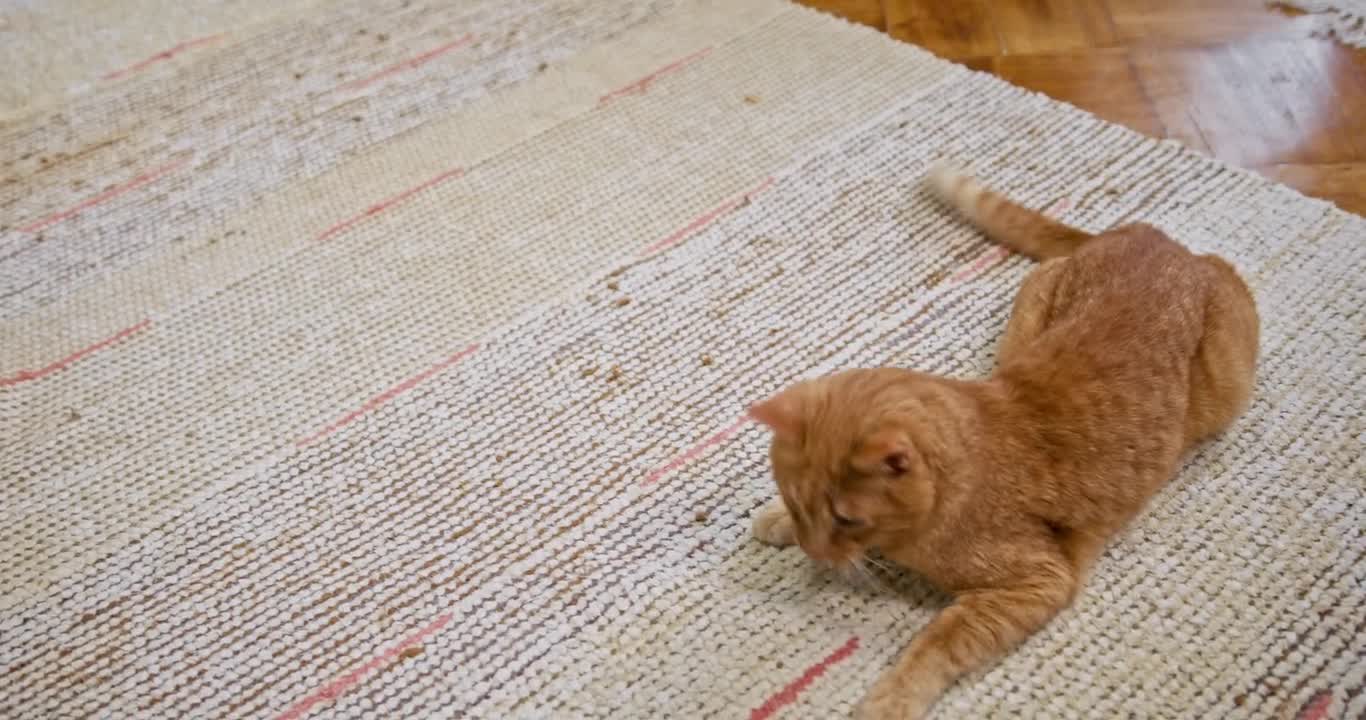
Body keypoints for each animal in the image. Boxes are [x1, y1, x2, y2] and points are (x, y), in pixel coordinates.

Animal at [748, 163, 1256, 720]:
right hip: (1025, 319)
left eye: (846, 520)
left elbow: (939, 642)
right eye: (799, 504)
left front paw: (893, 698)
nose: (814, 551)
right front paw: (778, 521)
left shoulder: (1037, 582)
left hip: (1226, 382)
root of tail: (1156, 240)